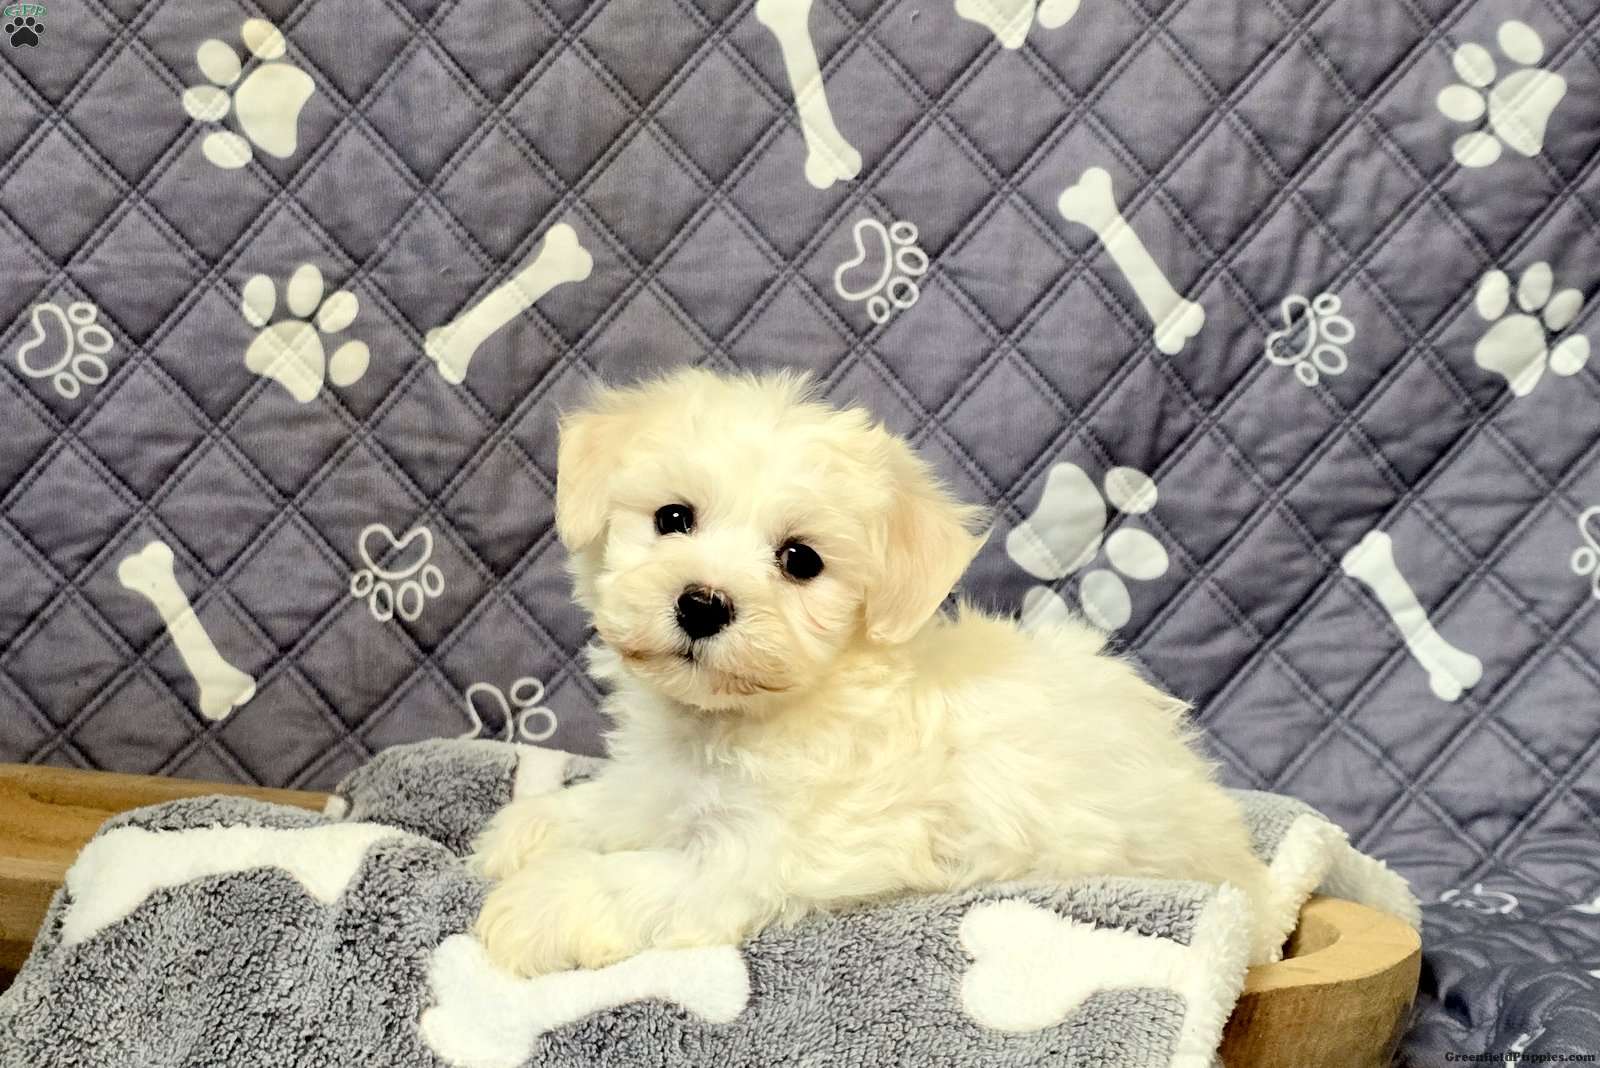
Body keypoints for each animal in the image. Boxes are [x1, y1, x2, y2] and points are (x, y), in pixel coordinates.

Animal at [471, 367, 1278, 976]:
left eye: (800, 560)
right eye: (673, 518)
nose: (702, 604)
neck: (738, 722)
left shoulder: (767, 854)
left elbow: (647, 878)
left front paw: (536, 906)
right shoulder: (662, 783)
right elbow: (614, 807)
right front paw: (526, 832)